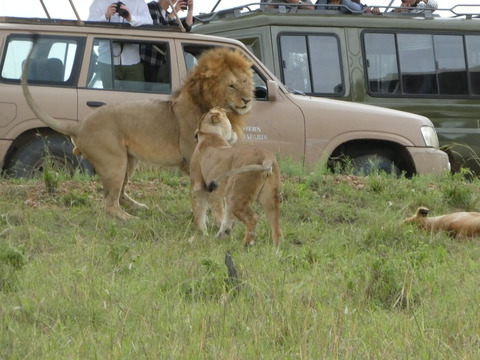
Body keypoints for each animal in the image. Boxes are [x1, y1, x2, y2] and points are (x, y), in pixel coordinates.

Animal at [21, 45, 255, 219]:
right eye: (231, 86)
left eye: (244, 81)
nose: (247, 99)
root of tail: (80, 125)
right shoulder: (193, 160)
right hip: (114, 162)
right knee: (109, 204)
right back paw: (129, 219)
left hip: (129, 161)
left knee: (118, 196)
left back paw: (139, 208)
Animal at [189, 107, 284, 248]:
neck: (209, 134)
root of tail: (266, 157)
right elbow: (226, 218)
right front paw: (219, 237)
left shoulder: (199, 186)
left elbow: (199, 214)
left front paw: (197, 237)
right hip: (268, 197)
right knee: (276, 228)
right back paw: (275, 250)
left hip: (236, 196)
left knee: (253, 218)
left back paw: (246, 245)